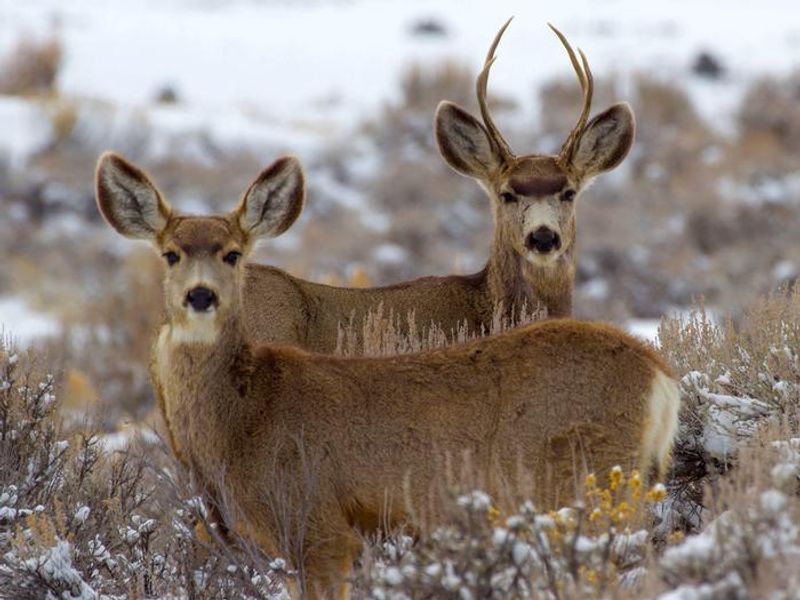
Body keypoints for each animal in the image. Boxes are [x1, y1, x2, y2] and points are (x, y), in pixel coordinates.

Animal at [96, 154, 678, 599]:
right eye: (171, 254)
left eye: (232, 254)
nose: (201, 296)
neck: (247, 416)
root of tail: (662, 377)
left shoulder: (321, 526)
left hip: (590, 483)